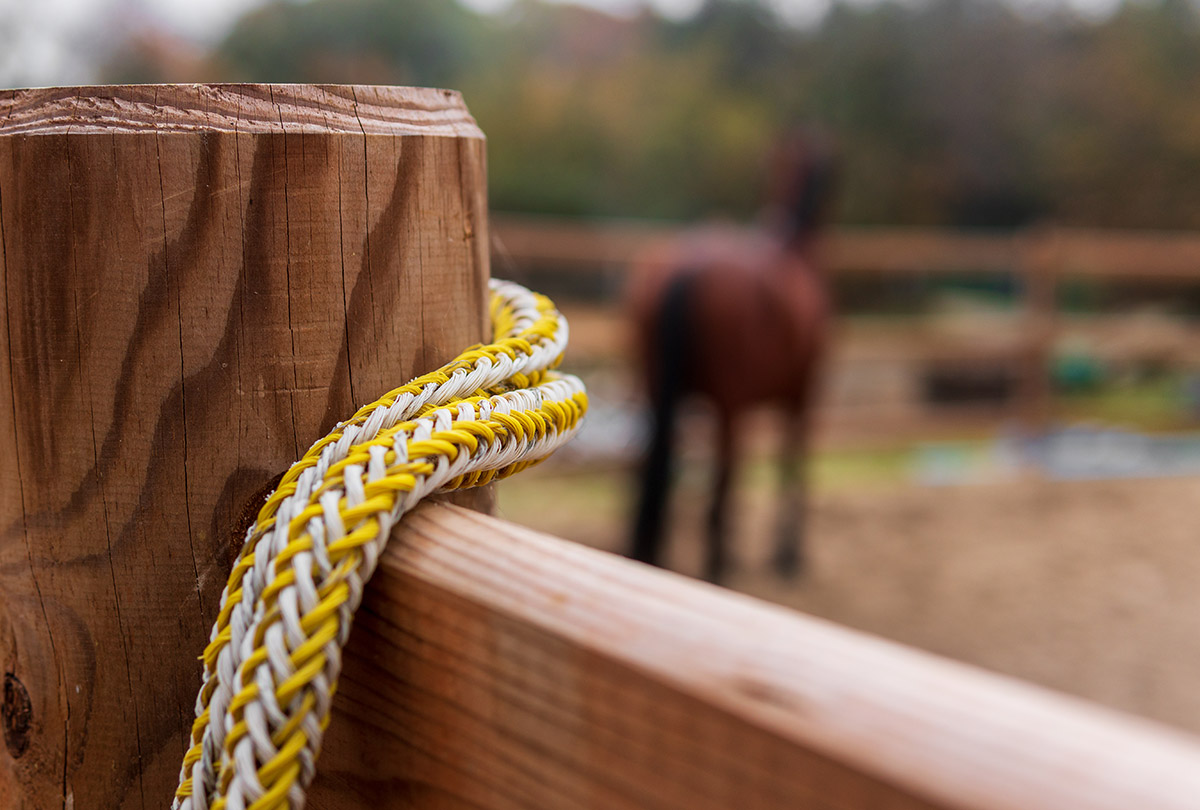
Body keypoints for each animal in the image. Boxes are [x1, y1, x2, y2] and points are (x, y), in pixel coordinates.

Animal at [624, 131, 840, 583]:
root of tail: (690, 265)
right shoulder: (803, 395)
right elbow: (793, 464)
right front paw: (788, 553)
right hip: (731, 407)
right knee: (723, 480)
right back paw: (718, 564)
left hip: (654, 391)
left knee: (648, 466)